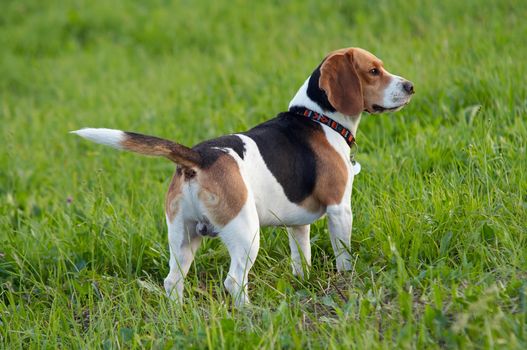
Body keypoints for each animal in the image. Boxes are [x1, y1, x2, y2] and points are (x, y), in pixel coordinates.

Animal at [72, 47, 414, 306]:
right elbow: (343, 255)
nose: (410, 86)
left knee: (172, 280)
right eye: (373, 71)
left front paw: (303, 281)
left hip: (182, 236)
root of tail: (199, 158)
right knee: (234, 280)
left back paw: (178, 315)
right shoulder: (340, 209)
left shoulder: (297, 224)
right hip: (245, 232)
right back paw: (251, 313)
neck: (318, 118)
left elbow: (301, 256)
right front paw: (348, 281)